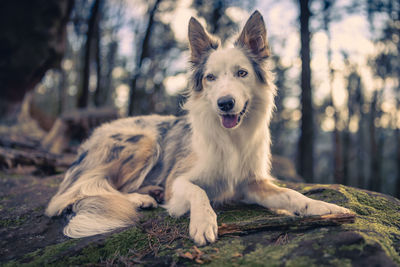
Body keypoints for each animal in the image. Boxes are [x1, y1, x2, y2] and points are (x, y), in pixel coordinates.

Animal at [45, 11, 348, 247]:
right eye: (211, 77)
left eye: (242, 73)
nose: (225, 104)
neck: (231, 138)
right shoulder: (177, 181)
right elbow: (198, 192)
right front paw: (203, 222)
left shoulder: (250, 183)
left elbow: (291, 195)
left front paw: (324, 207)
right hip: (145, 141)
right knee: (72, 194)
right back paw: (141, 198)